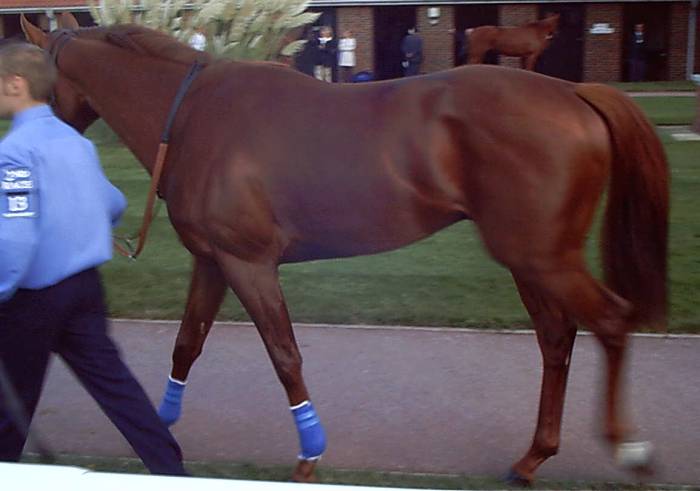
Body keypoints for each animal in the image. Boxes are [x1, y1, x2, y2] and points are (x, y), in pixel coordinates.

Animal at [21, 13, 668, 486]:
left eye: (32, 85)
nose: (24, 140)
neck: (190, 117)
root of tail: (575, 93)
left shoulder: (248, 262)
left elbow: (284, 355)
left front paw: (309, 454)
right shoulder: (211, 260)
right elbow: (186, 346)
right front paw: (158, 433)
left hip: (542, 257)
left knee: (611, 320)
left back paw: (631, 449)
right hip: (529, 258)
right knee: (557, 338)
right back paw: (532, 457)